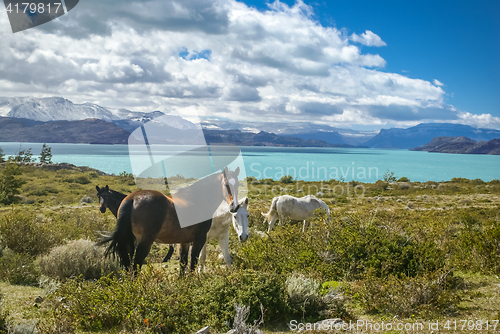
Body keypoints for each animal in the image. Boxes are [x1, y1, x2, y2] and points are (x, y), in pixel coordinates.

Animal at [99, 166, 240, 272]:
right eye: (226, 184)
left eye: (237, 185)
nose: (234, 207)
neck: (197, 200)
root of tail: (132, 199)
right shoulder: (199, 239)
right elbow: (193, 263)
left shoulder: (185, 242)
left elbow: (183, 264)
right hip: (145, 242)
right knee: (136, 266)